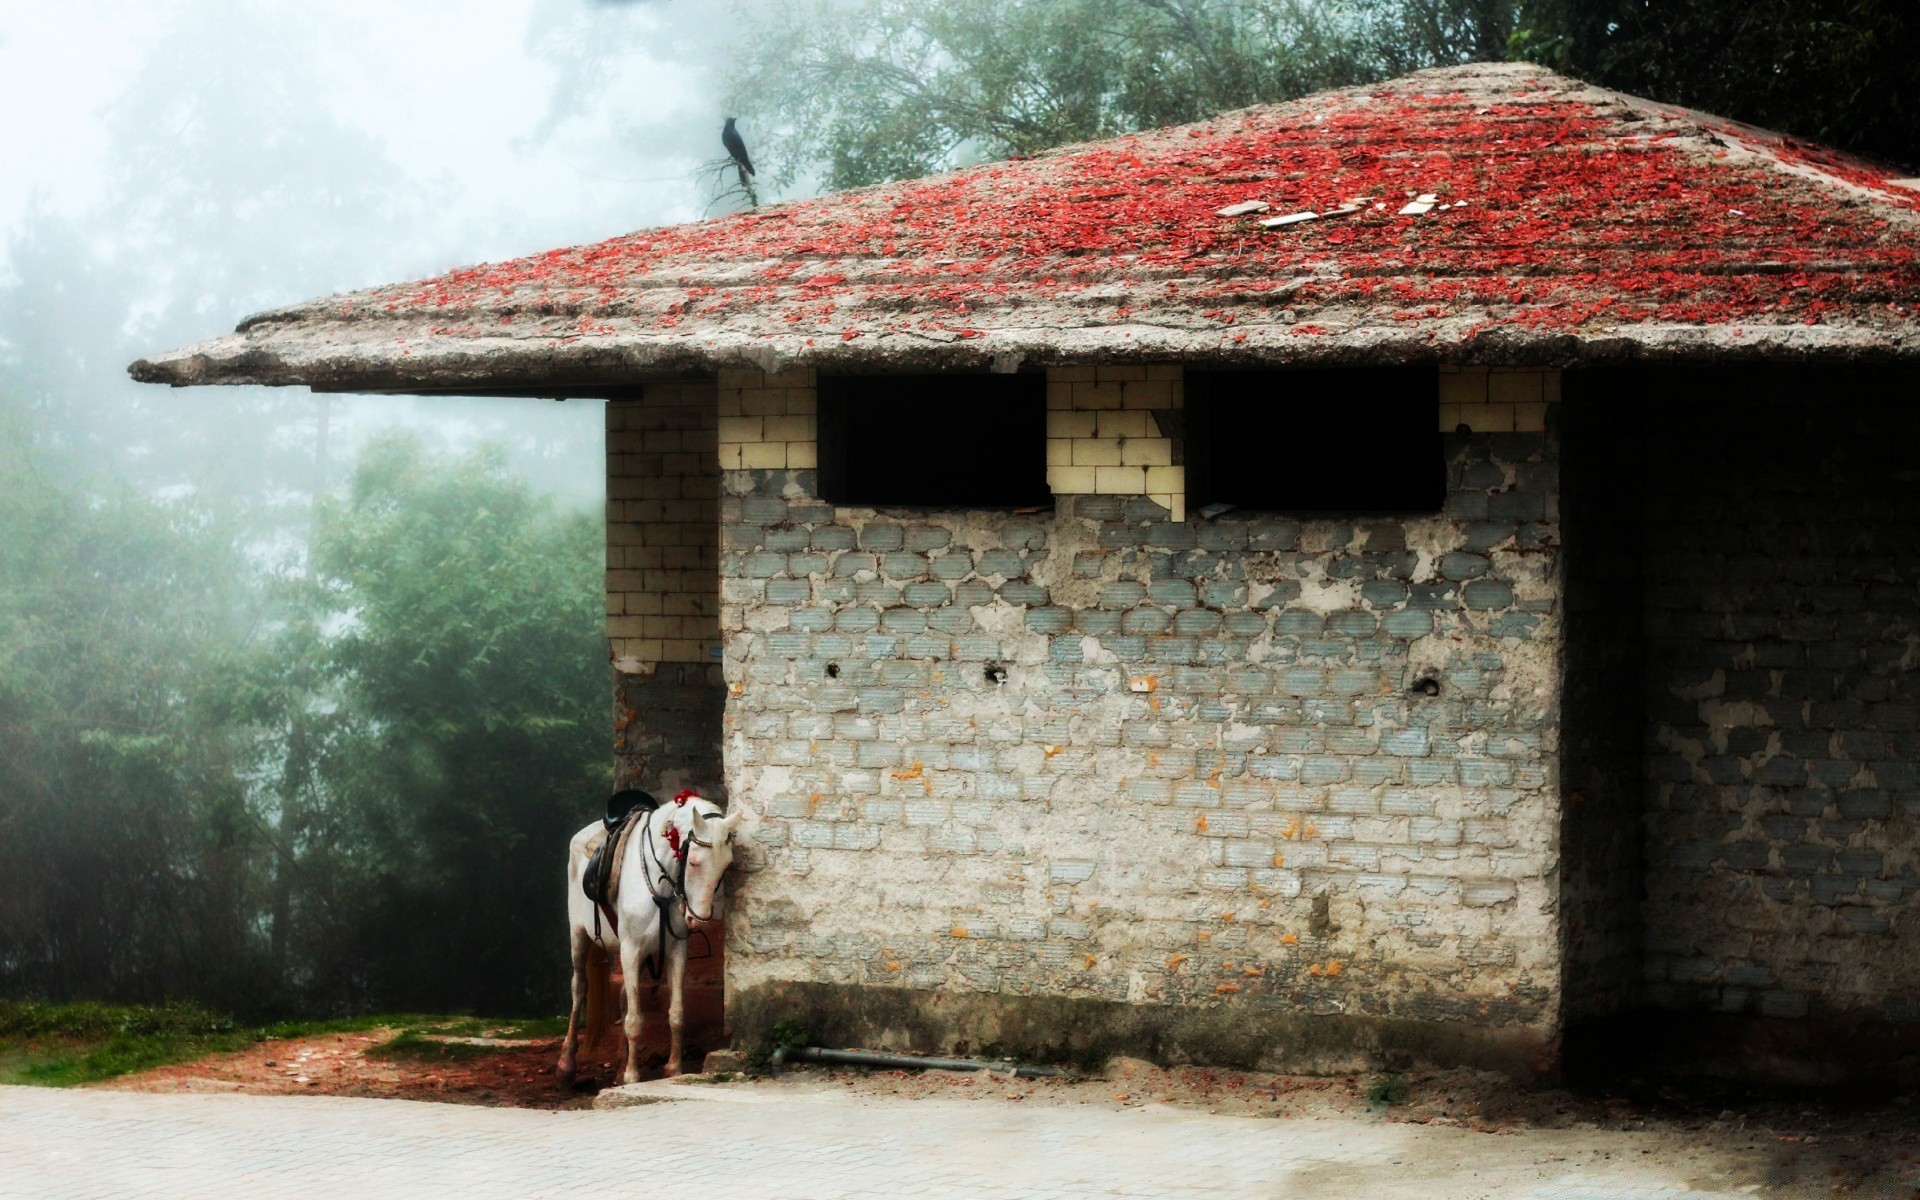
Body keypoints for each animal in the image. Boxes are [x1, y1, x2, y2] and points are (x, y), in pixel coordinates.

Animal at [560, 794, 737, 1082]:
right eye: (694, 861)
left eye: (726, 865)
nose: (697, 918)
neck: (660, 880)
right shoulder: (631, 950)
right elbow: (634, 1020)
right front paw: (632, 1077)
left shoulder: (676, 950)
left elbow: (676, 1014)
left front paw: (673, 1070)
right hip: (579, 936)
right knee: (579, 988)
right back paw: (566, 1064)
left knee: (622, 997)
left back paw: (619, 1066)